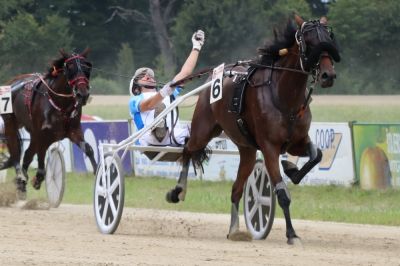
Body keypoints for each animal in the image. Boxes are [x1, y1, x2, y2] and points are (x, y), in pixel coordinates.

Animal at [0, 48, 97, 198]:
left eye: (87, 67)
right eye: (70, 67)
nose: (83, 94)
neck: (59, 102)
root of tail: (11, 83)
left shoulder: (74, 131)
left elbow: (89, 149)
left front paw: (99, 172)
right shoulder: (42, 134)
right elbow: (41, 158)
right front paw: (38, 178)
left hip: (32, 132)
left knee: (27, 154)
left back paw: (22, 184)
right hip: (11, 123)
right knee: (16, 153)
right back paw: (21, 176)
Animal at [166, 14, 340, 243]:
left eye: (328, 38)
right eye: (309, 42)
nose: (328, 75)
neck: (283, 97)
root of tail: (216, 75)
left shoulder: (297, 142)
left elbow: (316, 155)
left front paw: (291, 169)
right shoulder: (270, 148)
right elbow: (282, 192)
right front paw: (292, 234)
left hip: (247, 150)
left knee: (236, 189)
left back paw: (234, 229)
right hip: (203, 130)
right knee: (187, 149)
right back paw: (178, 191)